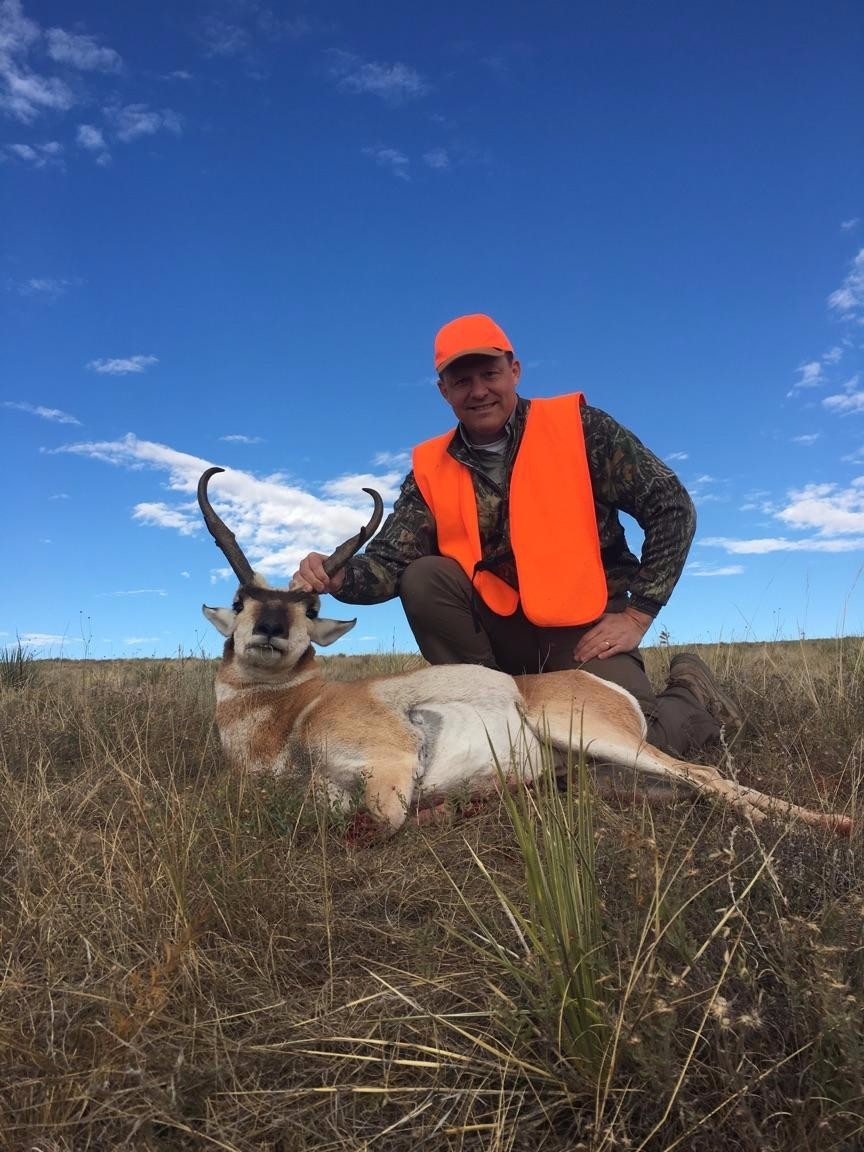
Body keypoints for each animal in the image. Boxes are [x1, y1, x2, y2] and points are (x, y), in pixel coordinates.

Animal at [199, 467, 857, 838]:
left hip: (591, 736)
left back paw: (823, 825)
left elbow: (378, 825)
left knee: (706, 772)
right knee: (696, 784)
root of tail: (594, 683)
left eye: (310, 609)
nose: (272, 628)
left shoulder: (389, 768)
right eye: (241, 598)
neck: (291, 717)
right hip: (607, 776)